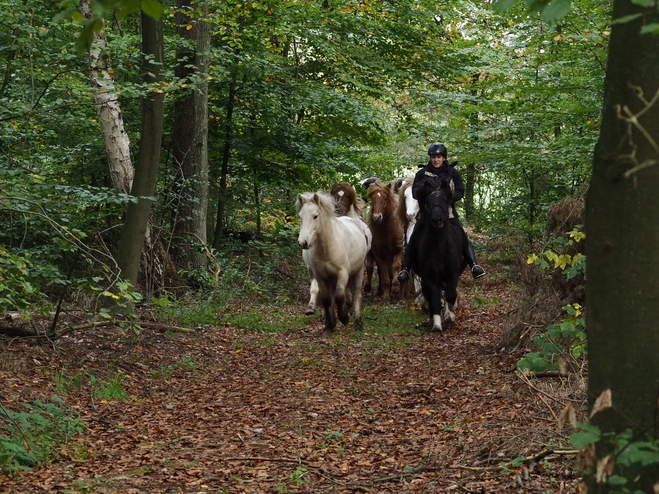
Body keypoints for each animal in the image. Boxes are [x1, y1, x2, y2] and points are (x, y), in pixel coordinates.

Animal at [298, 191, 372, 334]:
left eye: (315, 216)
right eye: (300, 217)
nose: (303, 242)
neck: (327, 248)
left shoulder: (342, 274)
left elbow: (339, 297)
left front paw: (344, 318)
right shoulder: (320, 276)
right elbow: (327, 300)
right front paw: (329, 326)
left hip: (359, 271)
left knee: (356, 294)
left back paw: (358, 322)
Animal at [408, 178, 470, 332]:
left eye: (444, 200)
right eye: (427, 202)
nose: (437, 220)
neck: (439, 246)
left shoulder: (452, 274)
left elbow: (451, 294)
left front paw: (450, 315)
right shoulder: (429, 277)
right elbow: (434, 299)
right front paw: (436, 324)